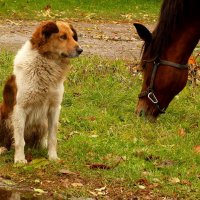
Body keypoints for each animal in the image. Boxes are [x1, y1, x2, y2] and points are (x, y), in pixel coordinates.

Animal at [0, 21, 82, 163]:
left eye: (73, 36)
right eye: (62, 37)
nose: (80, 50)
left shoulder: (55, 108)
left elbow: (53, 137)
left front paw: (52, 157)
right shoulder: (20, 108)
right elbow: (19, 140)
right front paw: (20, 160)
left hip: (43, 122)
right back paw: (3, 149)